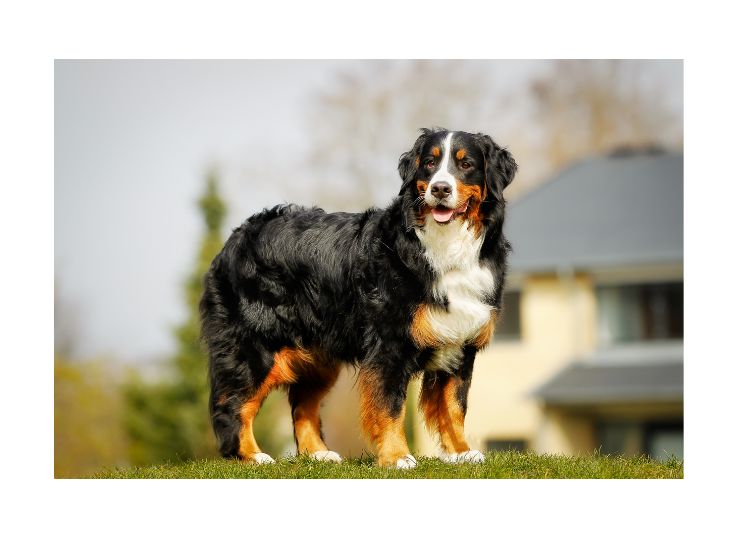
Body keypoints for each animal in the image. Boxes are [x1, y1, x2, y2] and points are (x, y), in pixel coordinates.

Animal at [198, 126, 516, 464]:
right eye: (430, 163)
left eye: (466, 164)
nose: (440, 189)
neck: (445, 245)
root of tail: (237, 236)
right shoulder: (389, 344)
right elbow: (390, 405)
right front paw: (397, 457)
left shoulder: (461, 341)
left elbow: (455, 406)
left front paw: (461, 453)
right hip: (256, 347)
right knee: (233, 404)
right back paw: (252, 456)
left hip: (318, 355)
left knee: (303, 404)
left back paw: (318, 454)